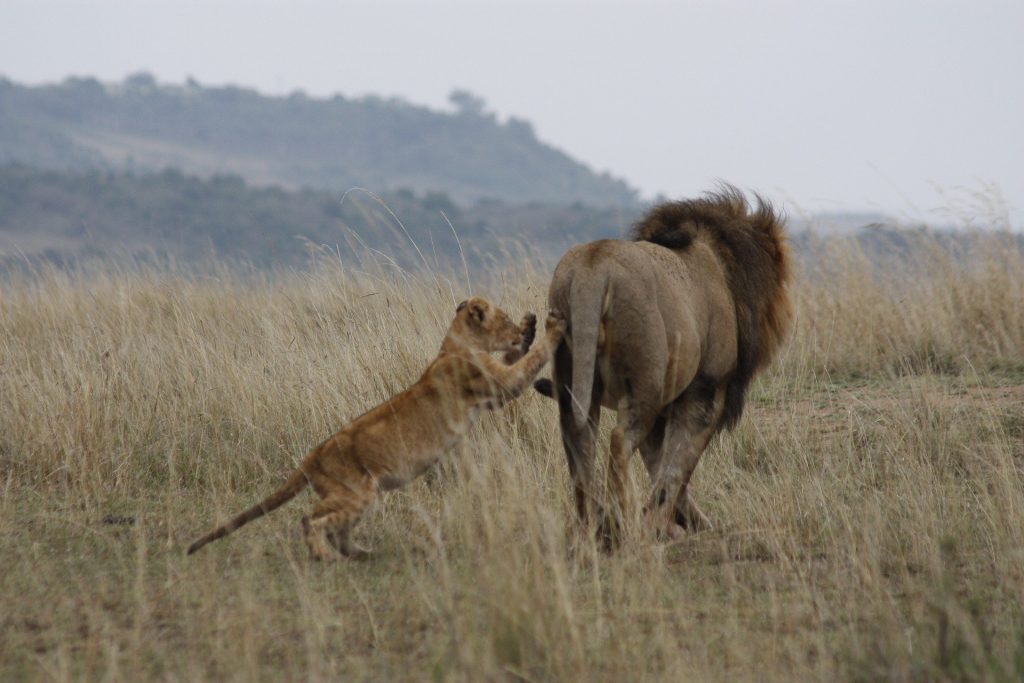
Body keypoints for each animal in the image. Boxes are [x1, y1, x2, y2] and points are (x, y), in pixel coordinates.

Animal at [188, 296, 565, 561]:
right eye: (504, 319)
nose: (518, 328)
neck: (455, 345)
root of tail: (311, 457)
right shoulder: (498, 386)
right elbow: (529, 362)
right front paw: (548, 327)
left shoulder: (493, 387)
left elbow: (518, 359)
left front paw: (531, 327)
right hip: (358, 493)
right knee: (311, 521)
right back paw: (324, 557)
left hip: (350, 496)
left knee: (334, 528)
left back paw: (362, 554)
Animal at [540, 187, 786, 544]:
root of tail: (592, 270)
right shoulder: (705, 392)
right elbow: (677, 466)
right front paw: (666, 525)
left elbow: (662, 465)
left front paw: (679, 523)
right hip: (648, 385)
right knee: (618, 441)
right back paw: (621, 526)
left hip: (578, 375)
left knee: (579, 441)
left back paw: (591, 527)